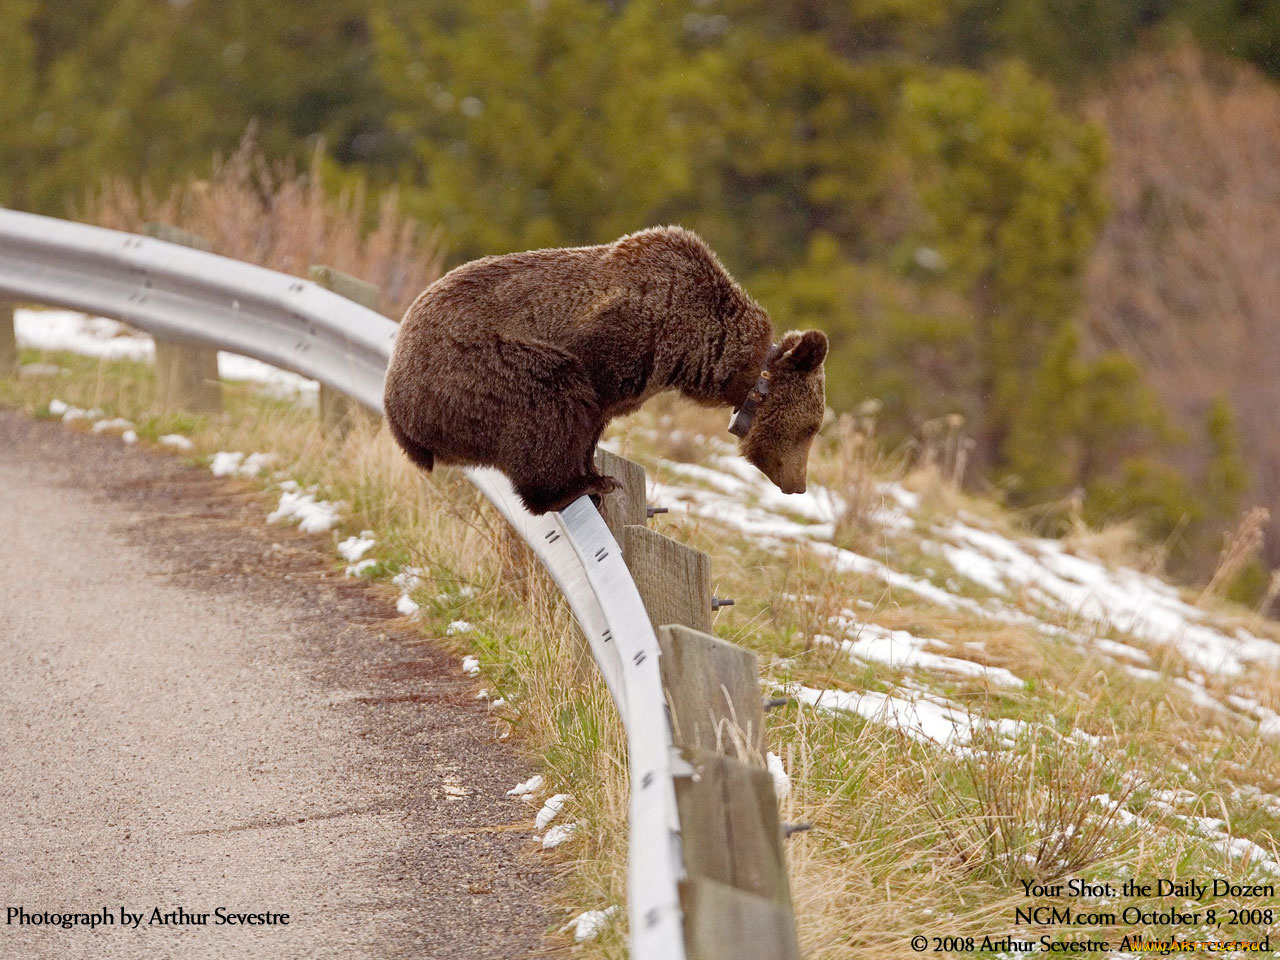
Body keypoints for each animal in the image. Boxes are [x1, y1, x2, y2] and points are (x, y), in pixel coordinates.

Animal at [381, 225, 829, 514]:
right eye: (811, 428)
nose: (798, 485)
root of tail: (397, 415)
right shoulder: (623, 335)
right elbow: (580, 405)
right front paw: (593, 479)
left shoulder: (639, 378)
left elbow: (596, 422)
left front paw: (596, 469)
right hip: (471, 370)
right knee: (547, 391)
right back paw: (564, 491)